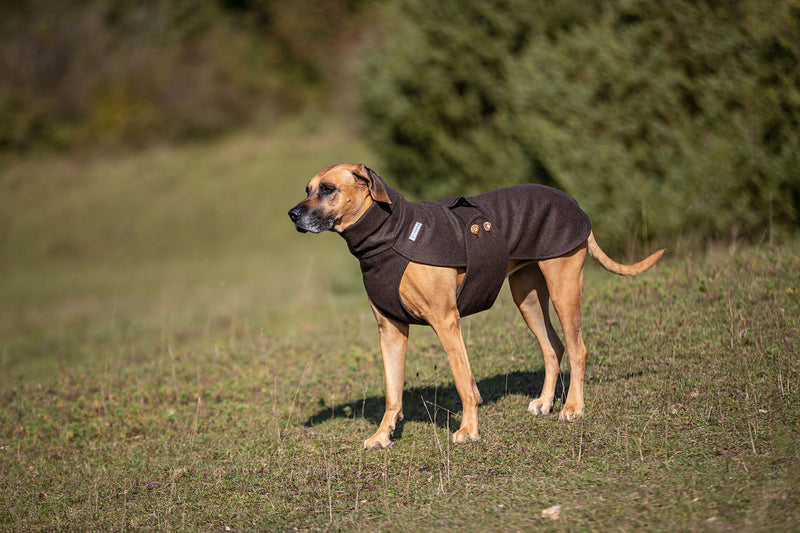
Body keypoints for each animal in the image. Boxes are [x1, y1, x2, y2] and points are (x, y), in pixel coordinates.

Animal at [288, 163, 664, 448]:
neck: (388, 235)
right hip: (526, 297)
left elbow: (462, 381)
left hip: (564, 287)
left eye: (327, 189)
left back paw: (572, 407)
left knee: (577, 348)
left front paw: (468, 430)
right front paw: (383, 435)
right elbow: (393, 391)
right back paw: (545, 402)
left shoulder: (446, 322)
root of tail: (573, 202)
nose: (292, 214)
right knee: (552, 347)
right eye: (307, 188)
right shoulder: (390, 330)